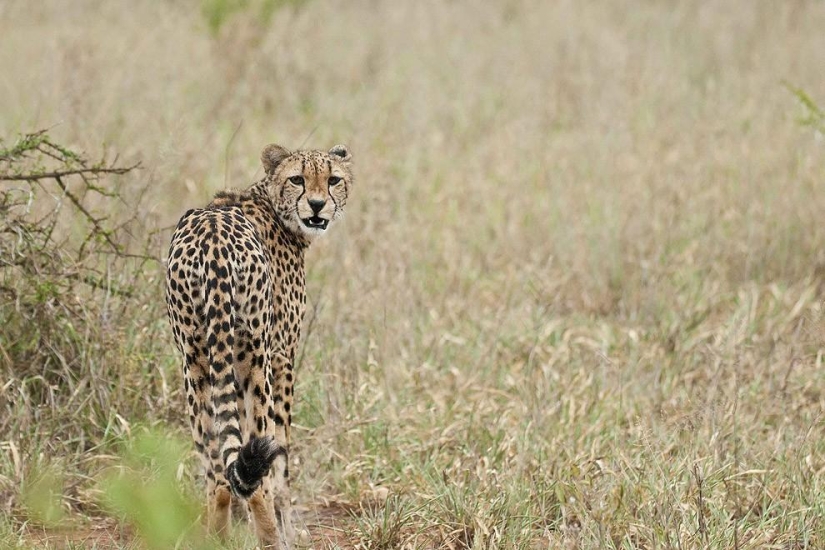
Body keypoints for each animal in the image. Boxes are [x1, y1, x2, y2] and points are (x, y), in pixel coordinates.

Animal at [164, 142, 350, 548]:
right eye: (297, 179)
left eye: (333, 179)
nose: (317, 205)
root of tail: (212, 241)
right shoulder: (282, 357)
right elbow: (280, 453)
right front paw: (289, 527)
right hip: (254, 357)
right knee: (257, 471)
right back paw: (270, 537)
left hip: (195, 359)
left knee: (218, 473)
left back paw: (216, 535)